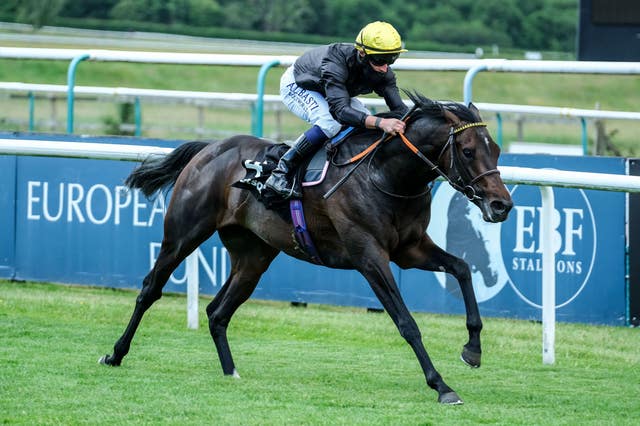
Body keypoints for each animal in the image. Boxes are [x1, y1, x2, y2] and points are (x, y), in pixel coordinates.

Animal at [97, 91, 512, 404]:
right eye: (469, 150)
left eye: (497, 150)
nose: (501, 205)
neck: (385, 174)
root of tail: (211, 148)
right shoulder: (368, 255)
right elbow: (406, 322)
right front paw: (441, 385)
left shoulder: (410, 249)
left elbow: (461, 268)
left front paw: (473, 349)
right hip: (184, 233)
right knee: (150, 290)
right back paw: (115, 353)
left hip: (253, 255)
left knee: (217, 312)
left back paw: (231, 371)